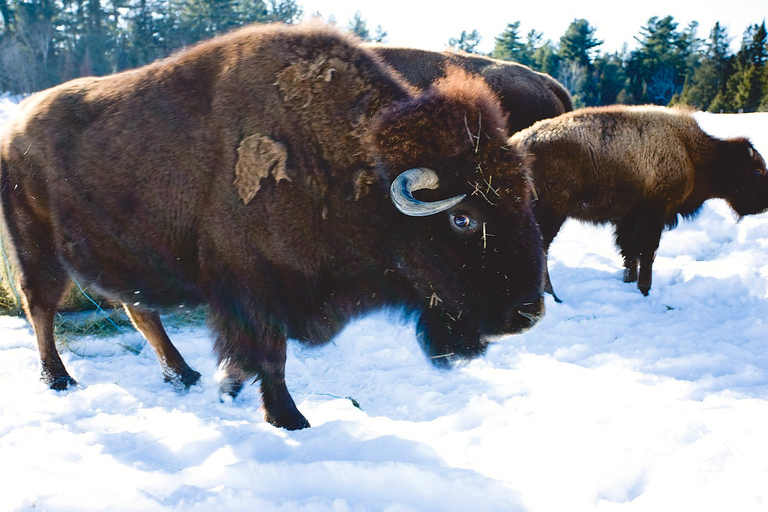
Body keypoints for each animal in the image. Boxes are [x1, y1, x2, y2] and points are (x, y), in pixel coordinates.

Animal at [0, 22, 544, 430]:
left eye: (524, 200)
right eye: (462, 218)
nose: (529, 312)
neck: (358, 168)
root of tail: (16, 124)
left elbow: (252, 355)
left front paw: (229, 388)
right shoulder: (256, 289)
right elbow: (271, 356)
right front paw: (289, 419)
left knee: (139, 311)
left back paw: (183, 374)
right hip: (37, 248)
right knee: (40, 306)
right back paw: (59, 379)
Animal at [510, 105, 768, 300]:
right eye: (756, 172)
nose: (764, 204)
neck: (690, 151)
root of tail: (518, 143)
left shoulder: (628, 217)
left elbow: (629, 251)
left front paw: (629, 281)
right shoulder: (654, 214)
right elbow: (647, 250)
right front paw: (645, 288)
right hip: (551, 214)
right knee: (541, 251)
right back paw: (552, 296)